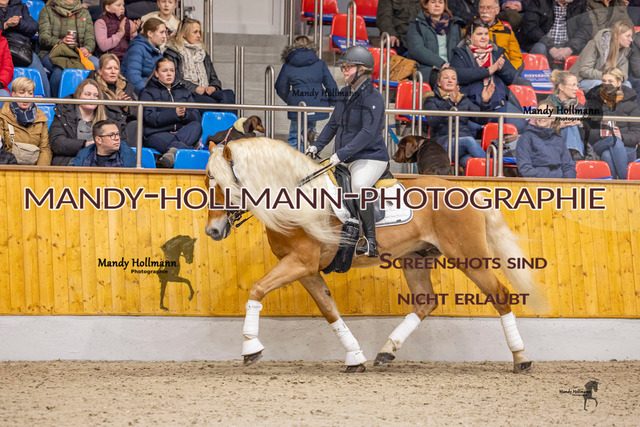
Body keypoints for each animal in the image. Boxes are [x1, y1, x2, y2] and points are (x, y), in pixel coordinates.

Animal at [204, 137, 540, 373]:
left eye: (223, 185)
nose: (212, 231)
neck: (296, 198)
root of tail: (467, 192)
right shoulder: (307, 270)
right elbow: (329, 311)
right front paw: (354, 357)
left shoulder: (299, 263)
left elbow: (257, 288)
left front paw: (251, 348)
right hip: (416, 258)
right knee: (425, 302)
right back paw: (386, 351)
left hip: (468, 256)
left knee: (499, 294)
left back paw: (521, 357)